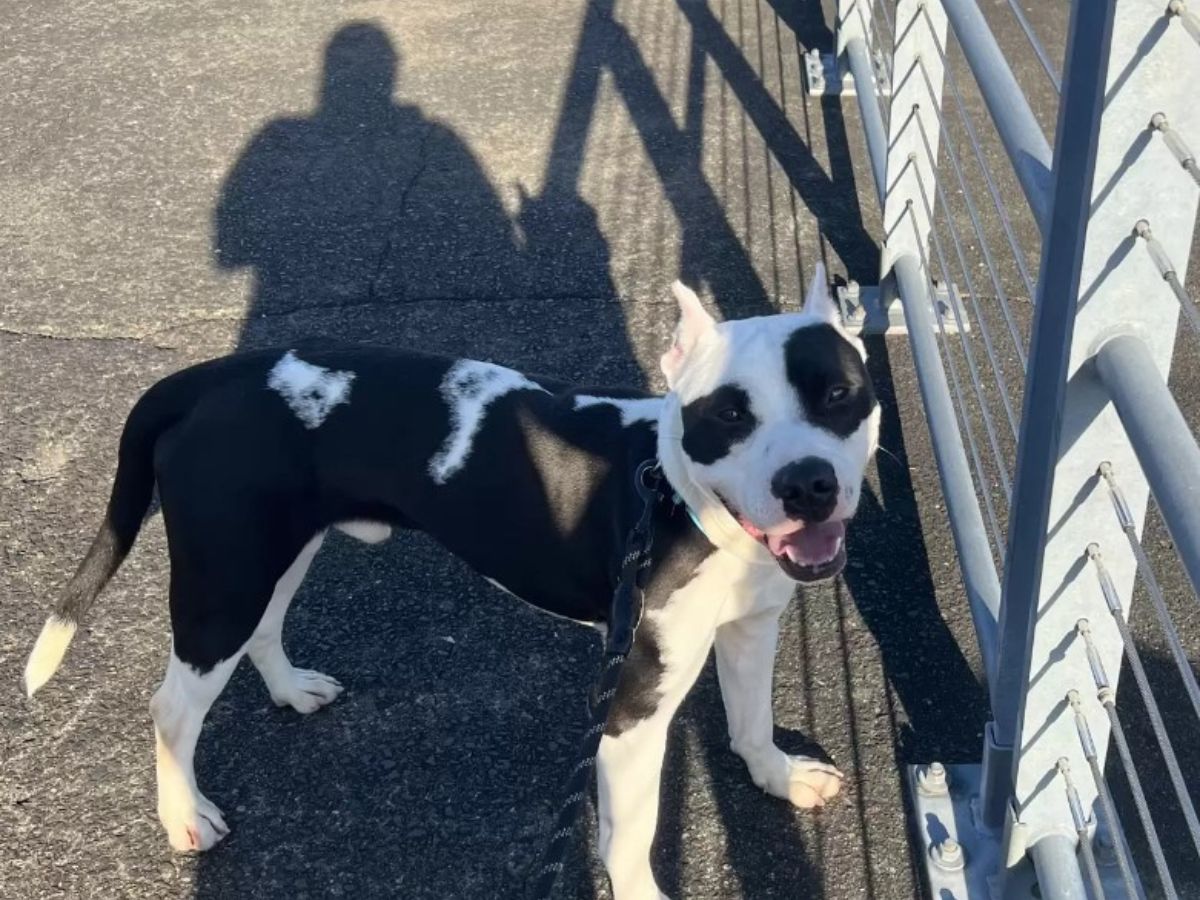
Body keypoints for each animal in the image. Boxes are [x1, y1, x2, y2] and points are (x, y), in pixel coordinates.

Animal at [23, 270, 878, 900]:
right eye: (728, 415)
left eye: (839, 395)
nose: (808, 484)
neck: (672, 493)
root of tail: (212, 375)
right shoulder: (631, 711)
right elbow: (631, 838)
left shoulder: (752, 627)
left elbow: (751, 720)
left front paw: (777, 775)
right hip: (222, 581)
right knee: (173, 707)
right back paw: (184, 816)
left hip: (275, 553)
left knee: (265, 628)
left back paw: (291, 690)